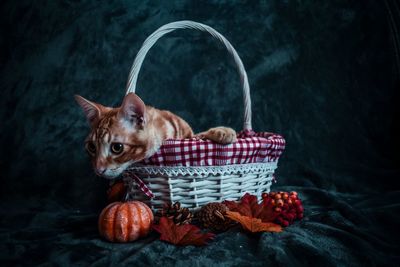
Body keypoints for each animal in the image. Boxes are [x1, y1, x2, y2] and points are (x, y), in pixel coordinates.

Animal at [76, 93, 236, 179]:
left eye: (117, 147)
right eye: (91, 147)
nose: (98, 170)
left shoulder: (190, 135)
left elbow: (200, 134)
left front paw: (223, 131)